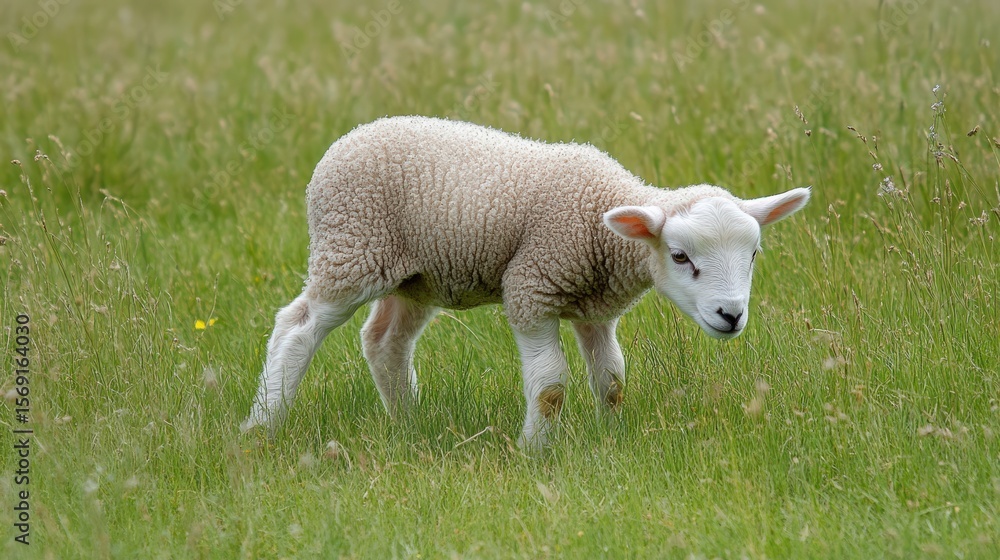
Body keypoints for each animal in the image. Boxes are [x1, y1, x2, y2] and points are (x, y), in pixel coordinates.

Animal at [241, 116, 810, 448]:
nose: (731, 315)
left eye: (754, 254)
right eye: (680, 256)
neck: (600, 225)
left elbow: (612, 379)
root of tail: (345, 140)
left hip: (417, 276)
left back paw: (407, 423)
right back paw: (262, 425)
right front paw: (535, 451)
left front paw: (609, 437)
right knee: (297, 327)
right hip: (351, 249)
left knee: (385, 342)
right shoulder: (532, 288)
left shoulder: (595, 308)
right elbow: (552, 385)